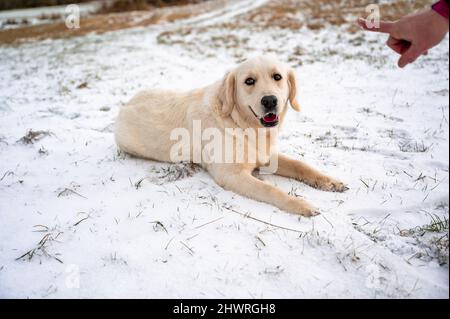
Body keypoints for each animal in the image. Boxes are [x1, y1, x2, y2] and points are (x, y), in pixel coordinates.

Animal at [116, 57, 348, 218]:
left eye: (277, 77)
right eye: (249, 81)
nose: (270, 101)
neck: (243, 125)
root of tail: (126, 103)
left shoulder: (265, 156)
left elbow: (301, 165)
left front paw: (330, 182)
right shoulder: (231, 174)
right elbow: (270, 189)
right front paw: (301, 205)